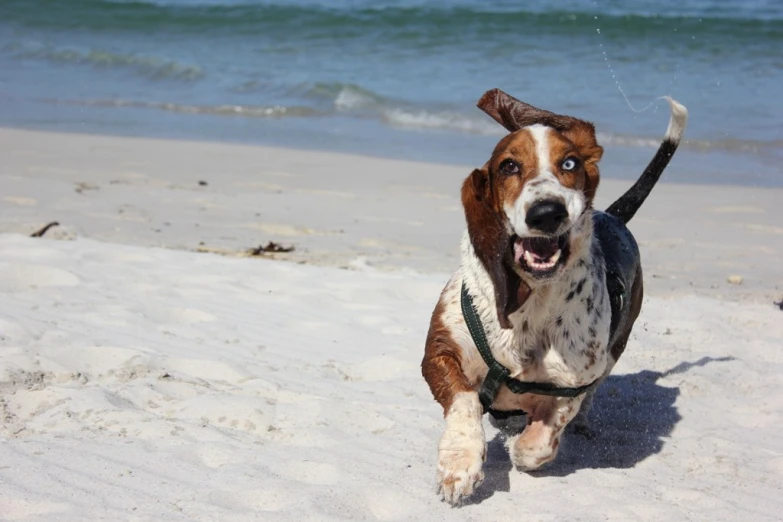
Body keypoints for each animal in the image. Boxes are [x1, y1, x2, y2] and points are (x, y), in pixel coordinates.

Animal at [422, 87, 688, 502]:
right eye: (508, 167)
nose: (547, 212)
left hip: (615, 349)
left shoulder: (572, 384)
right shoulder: (440, 351)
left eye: (570, 162)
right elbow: (465, 400)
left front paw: (520, 445)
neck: (529, 303)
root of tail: (614, 215)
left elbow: (538, 443)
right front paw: (459, 463)